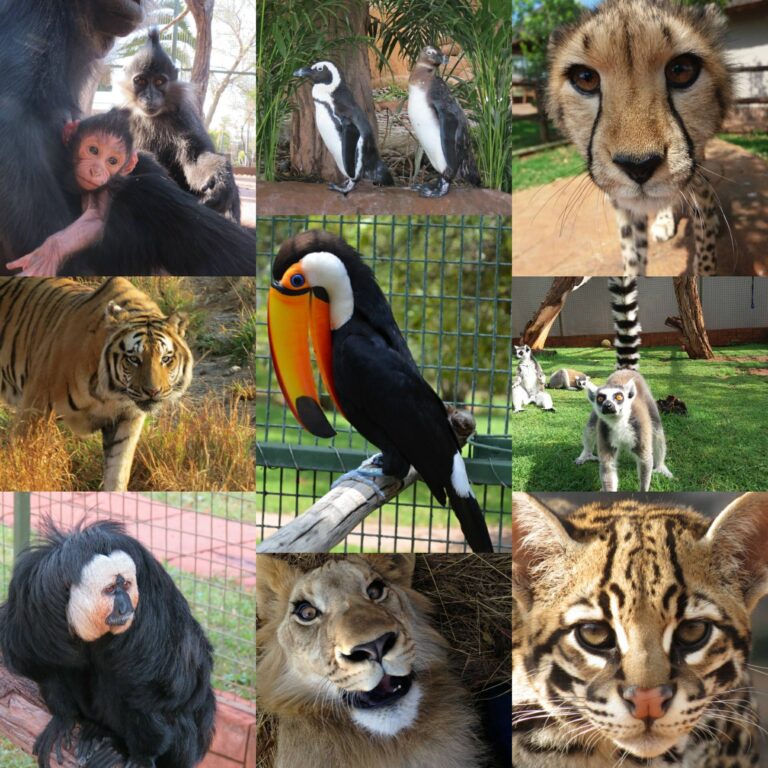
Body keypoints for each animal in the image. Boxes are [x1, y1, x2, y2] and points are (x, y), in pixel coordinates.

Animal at [0, 520, 216, 768]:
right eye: (111, 590)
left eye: (127, 585)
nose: (125, 607)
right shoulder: (32, 600)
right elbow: (44, 666)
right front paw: (64, 718)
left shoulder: (151, 600)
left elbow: (162, 684)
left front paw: (143, 755)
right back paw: (97, 730)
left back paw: (116, 746)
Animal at [121, 29, 241, 222]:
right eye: (140, 81)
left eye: (159, 82)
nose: (149, 97)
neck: (151, 118)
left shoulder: (183, 117)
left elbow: (195, 157)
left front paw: (220, 177)